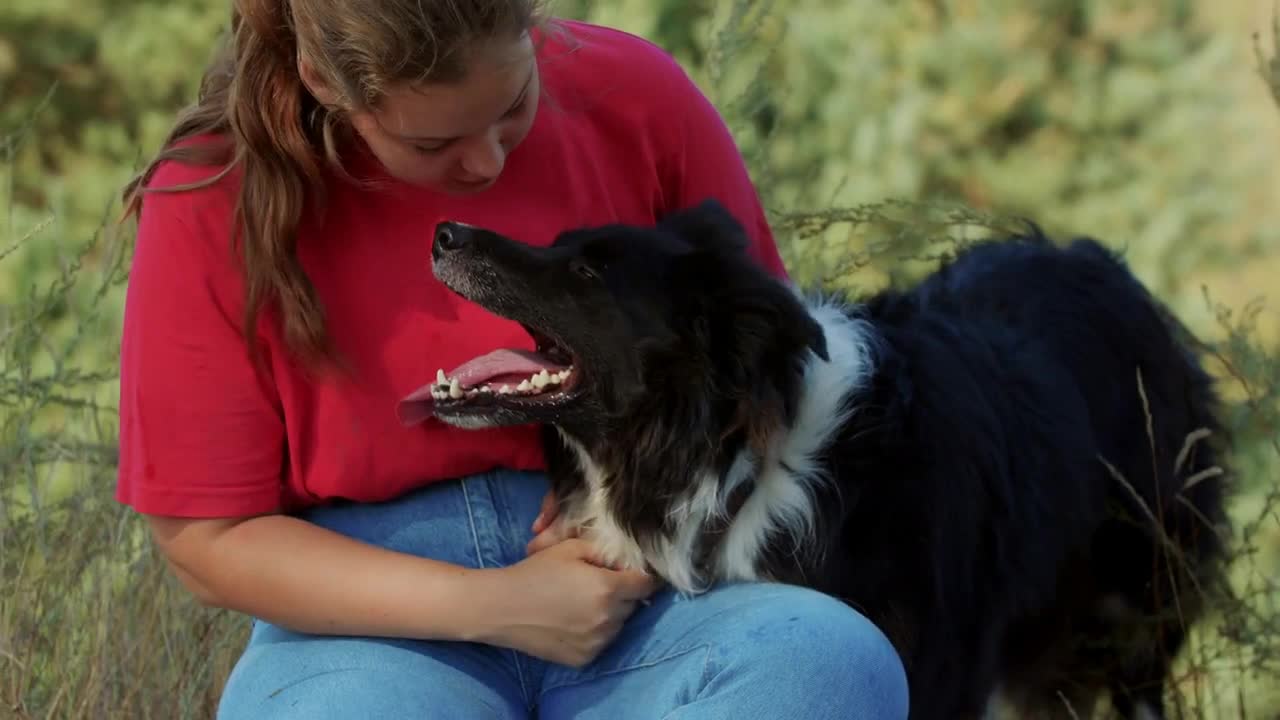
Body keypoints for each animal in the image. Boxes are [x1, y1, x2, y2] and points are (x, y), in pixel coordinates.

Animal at [396, 198, 1228, 717]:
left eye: (587, 273)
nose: (442, 232)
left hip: (1139, 603)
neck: (735, 461)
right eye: (559, 243)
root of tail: (1105, 269)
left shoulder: (936, 672)